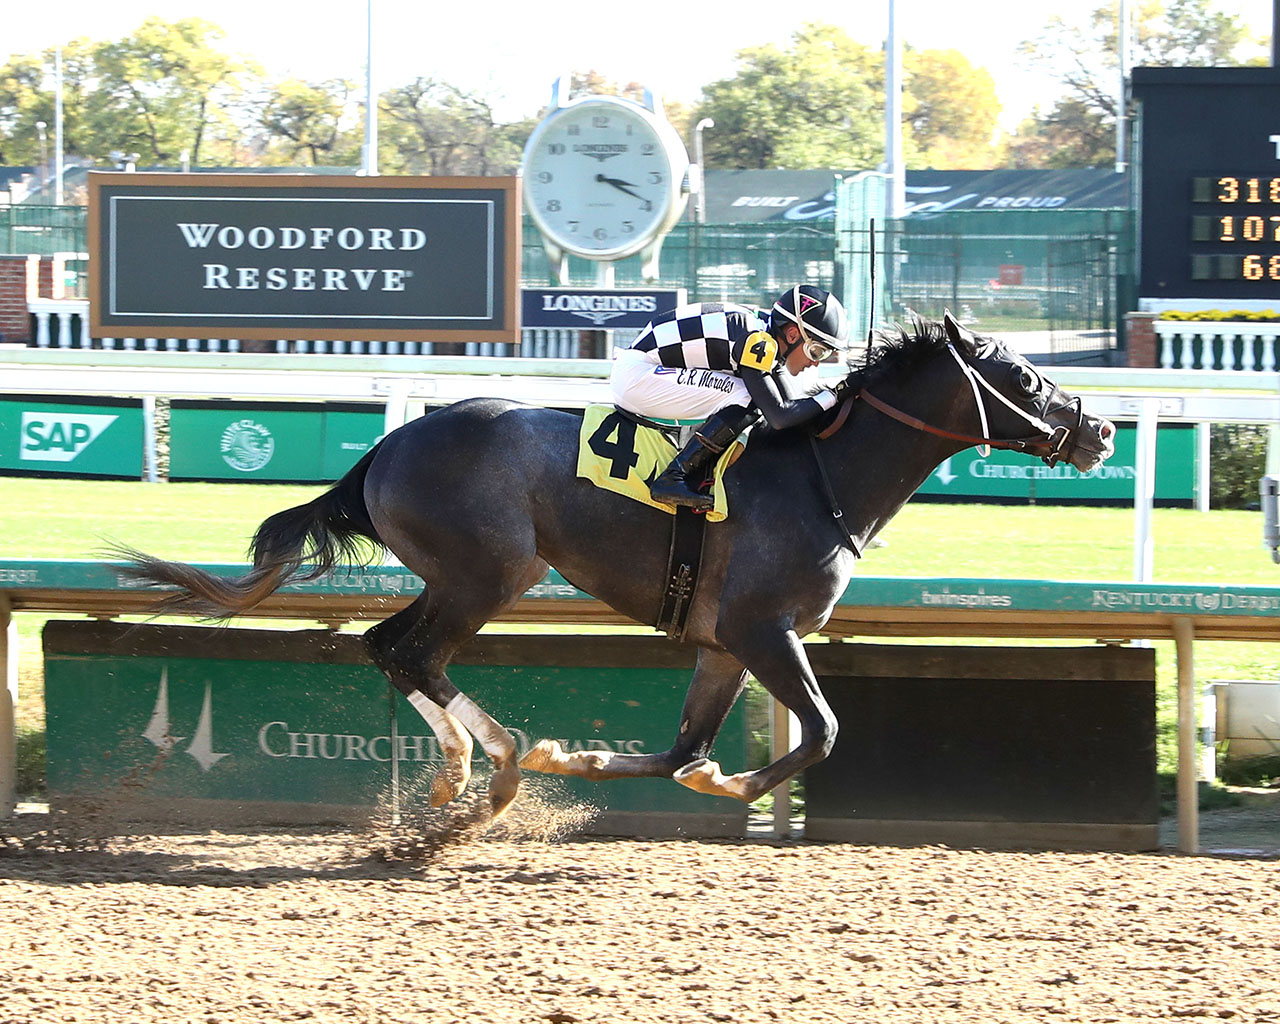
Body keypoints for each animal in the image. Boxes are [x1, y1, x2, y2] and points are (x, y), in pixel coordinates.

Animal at [122, 312, 1121, 814]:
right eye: (1024, 379)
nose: (1102, 430)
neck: (824, 476)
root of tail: (389, 446)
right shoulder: (765, 630)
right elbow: (824, 732)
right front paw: (738, 785)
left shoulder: (723, 643)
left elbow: (681, 750)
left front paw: (598, 761)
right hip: (491, 575)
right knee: (415, 653)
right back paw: (499, 761)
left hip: (456, 578)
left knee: (388, 648)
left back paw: (464, 770)